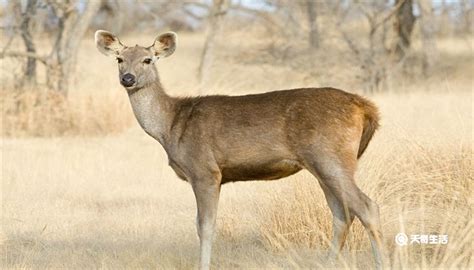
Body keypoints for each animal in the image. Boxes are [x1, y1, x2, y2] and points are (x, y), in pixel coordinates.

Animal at [95, 30, 388, 270]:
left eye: (148, 60)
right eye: (119, 59)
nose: (128, 78)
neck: (171, 125)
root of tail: (365, 107)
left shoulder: (205, 170)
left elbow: (205, 226)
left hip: (330, 156)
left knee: (367, 207)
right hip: (322, 165)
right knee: (342, 214)